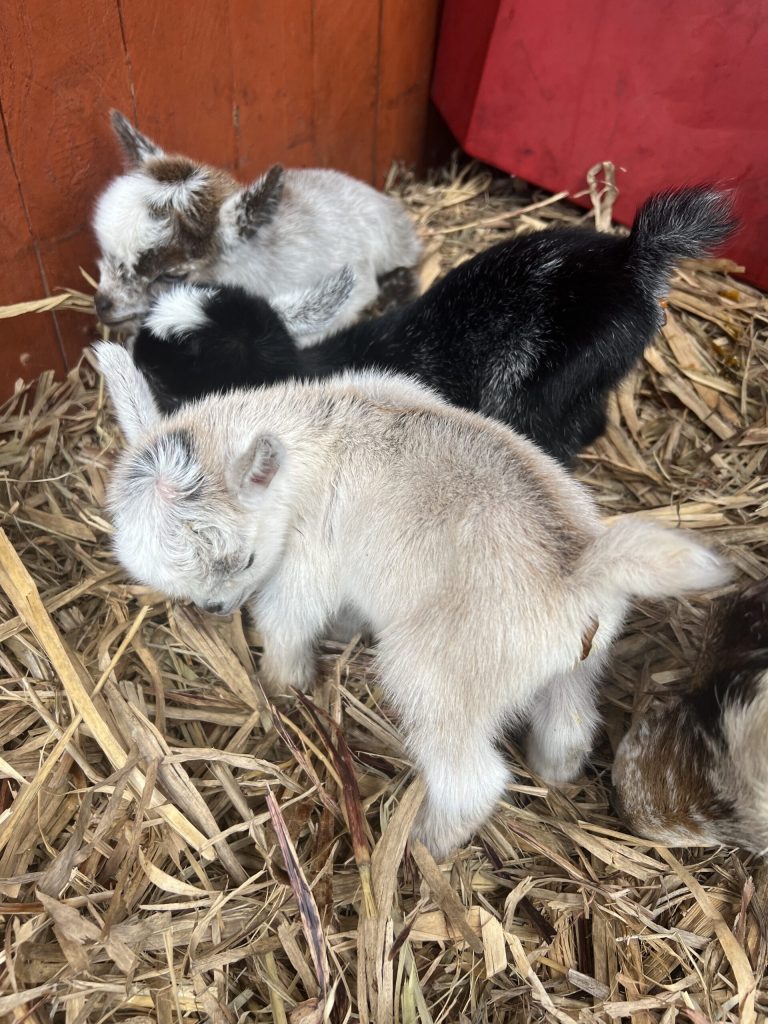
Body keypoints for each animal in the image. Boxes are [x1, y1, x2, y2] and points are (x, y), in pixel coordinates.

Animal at [96, 341, 729, 859]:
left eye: (246, 562)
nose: (215, 611)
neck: (319, 432)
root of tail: (576, 569)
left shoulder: (307, 560)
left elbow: (287, 622)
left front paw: (281, 685)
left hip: (437, 681)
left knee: (471, 780)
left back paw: (424, 844)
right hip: (576, 663)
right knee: (571, 723)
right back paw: (554, 774)